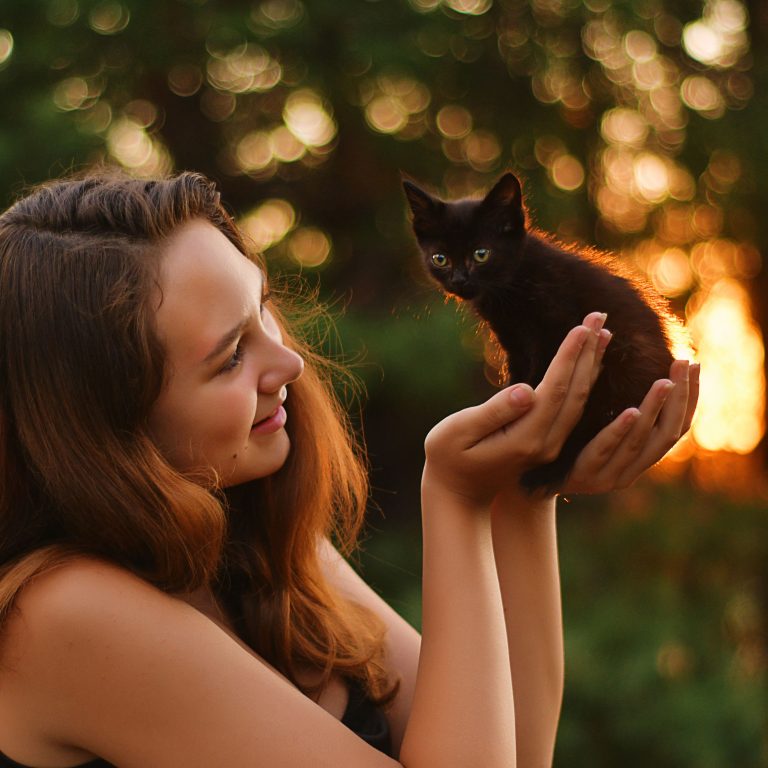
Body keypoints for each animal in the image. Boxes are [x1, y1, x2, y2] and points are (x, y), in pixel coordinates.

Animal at [404, 173, 676, 492]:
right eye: (440, 258)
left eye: (481, 254)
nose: (459, 280)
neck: (513, 280)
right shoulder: (514, 341)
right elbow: (521, 372)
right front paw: (513, 396)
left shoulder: (557, 326)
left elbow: (541, 371)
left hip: (625, 362)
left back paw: (545, 472)